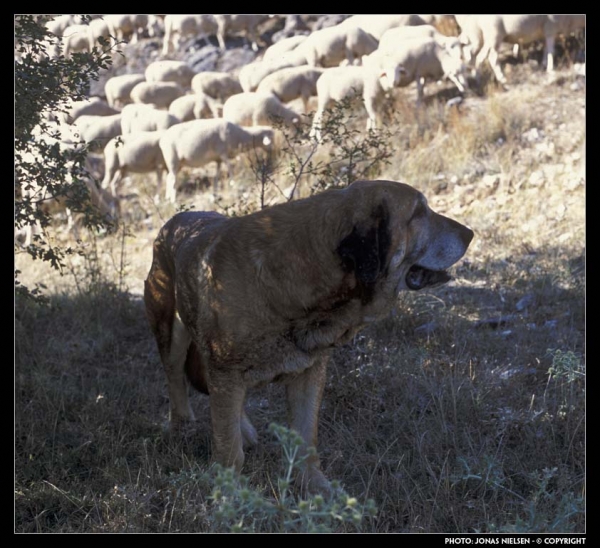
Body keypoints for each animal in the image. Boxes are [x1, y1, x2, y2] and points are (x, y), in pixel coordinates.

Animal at [144, 180, 474, 492]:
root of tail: (174, 222)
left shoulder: (309, 372)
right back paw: (182, 427)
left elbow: (305, 438)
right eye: (419, 212)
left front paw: (315, 488)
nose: (470, 234)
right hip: (171, 332)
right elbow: (228, 448)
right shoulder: (226, 372)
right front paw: (230, 494)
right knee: (176, 379)